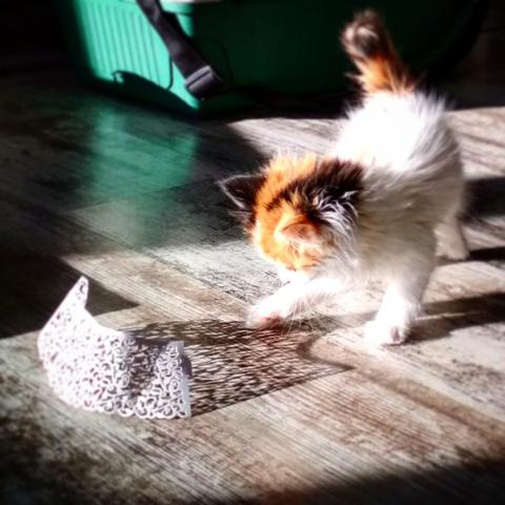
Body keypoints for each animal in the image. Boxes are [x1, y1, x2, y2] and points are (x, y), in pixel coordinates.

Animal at [219, 10, 468, 345]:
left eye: (291, 263)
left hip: (450, 179)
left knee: (450, 213)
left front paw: (388, 329)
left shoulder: (415, 250)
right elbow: (309, 290)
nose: (285, 273)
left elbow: (403, 294)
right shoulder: (344, 266)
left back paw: (458, 247)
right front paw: (270, 311)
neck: (355, 203)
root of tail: (396, 93)